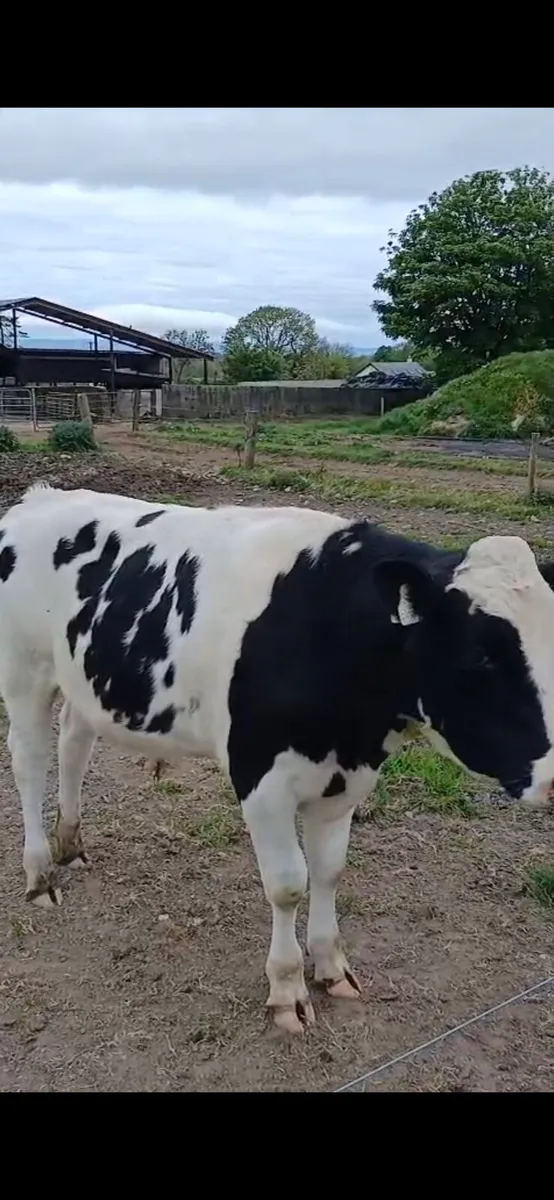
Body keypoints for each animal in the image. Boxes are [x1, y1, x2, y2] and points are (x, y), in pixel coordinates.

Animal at [0, 483, 554, 1036]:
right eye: (481, 654)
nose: (553, 779)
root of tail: (39, 497)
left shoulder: (346, 778)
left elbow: (329, 871)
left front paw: (331, 967)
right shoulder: (261, 779)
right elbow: (288, 884)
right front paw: (287, 988)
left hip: (84, 680)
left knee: (74, 744)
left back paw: (71, 842)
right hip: (24, 671)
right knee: (29, 761)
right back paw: (40, 872)